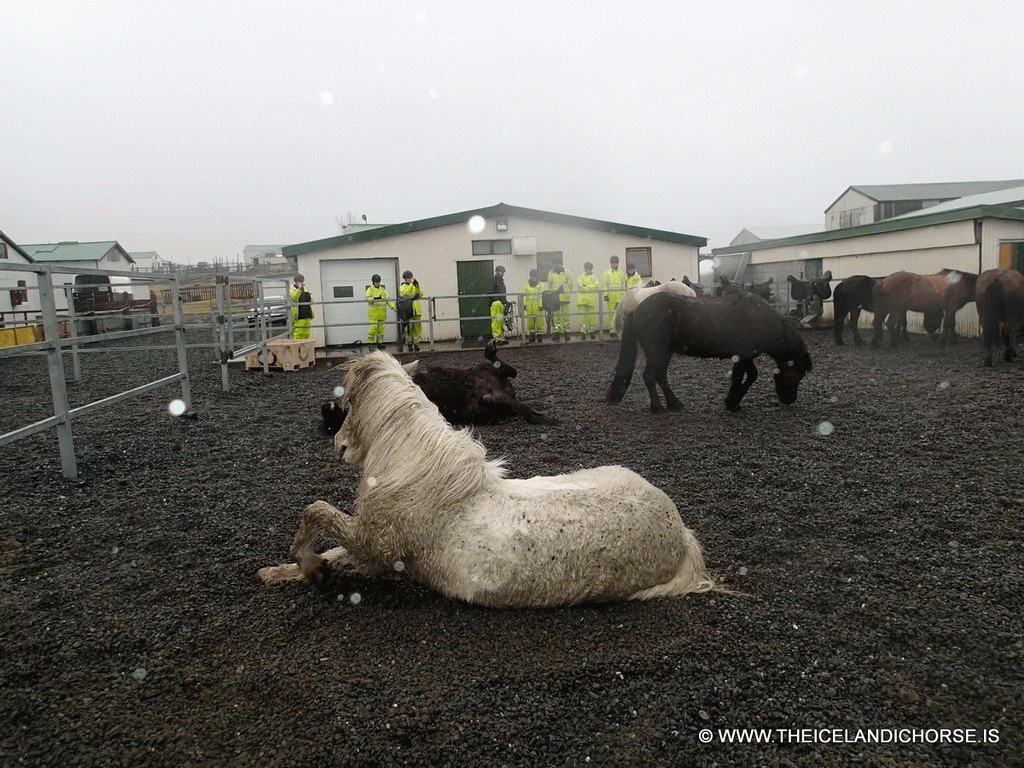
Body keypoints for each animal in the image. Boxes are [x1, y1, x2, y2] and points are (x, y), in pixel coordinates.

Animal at [260, 352, 716, 610]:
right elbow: (333, 549)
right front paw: (283, 571)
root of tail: (680, 533)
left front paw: (310, 567)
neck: (417, 469)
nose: (338, 446)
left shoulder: (376, 546)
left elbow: (317, 513)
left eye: (349, 403)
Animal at [321, 339, 557, 430]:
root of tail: (507, 391)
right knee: (510, 401)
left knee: (506, 369)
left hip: (483, 370)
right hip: (482, 406)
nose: (327, 406)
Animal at [602, 292, 811, 415]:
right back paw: (658, 407)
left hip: (664, 353)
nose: (790, 400)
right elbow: (747, 376)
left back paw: (674, 404)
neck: (758, 318)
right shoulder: (743, 356)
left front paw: (733, 401)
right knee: (650, 376)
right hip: (657, 351)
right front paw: (732, 402)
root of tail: (638, 309)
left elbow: (744, 375)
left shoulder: (743, 357)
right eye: (799, 375)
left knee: (660, 376)